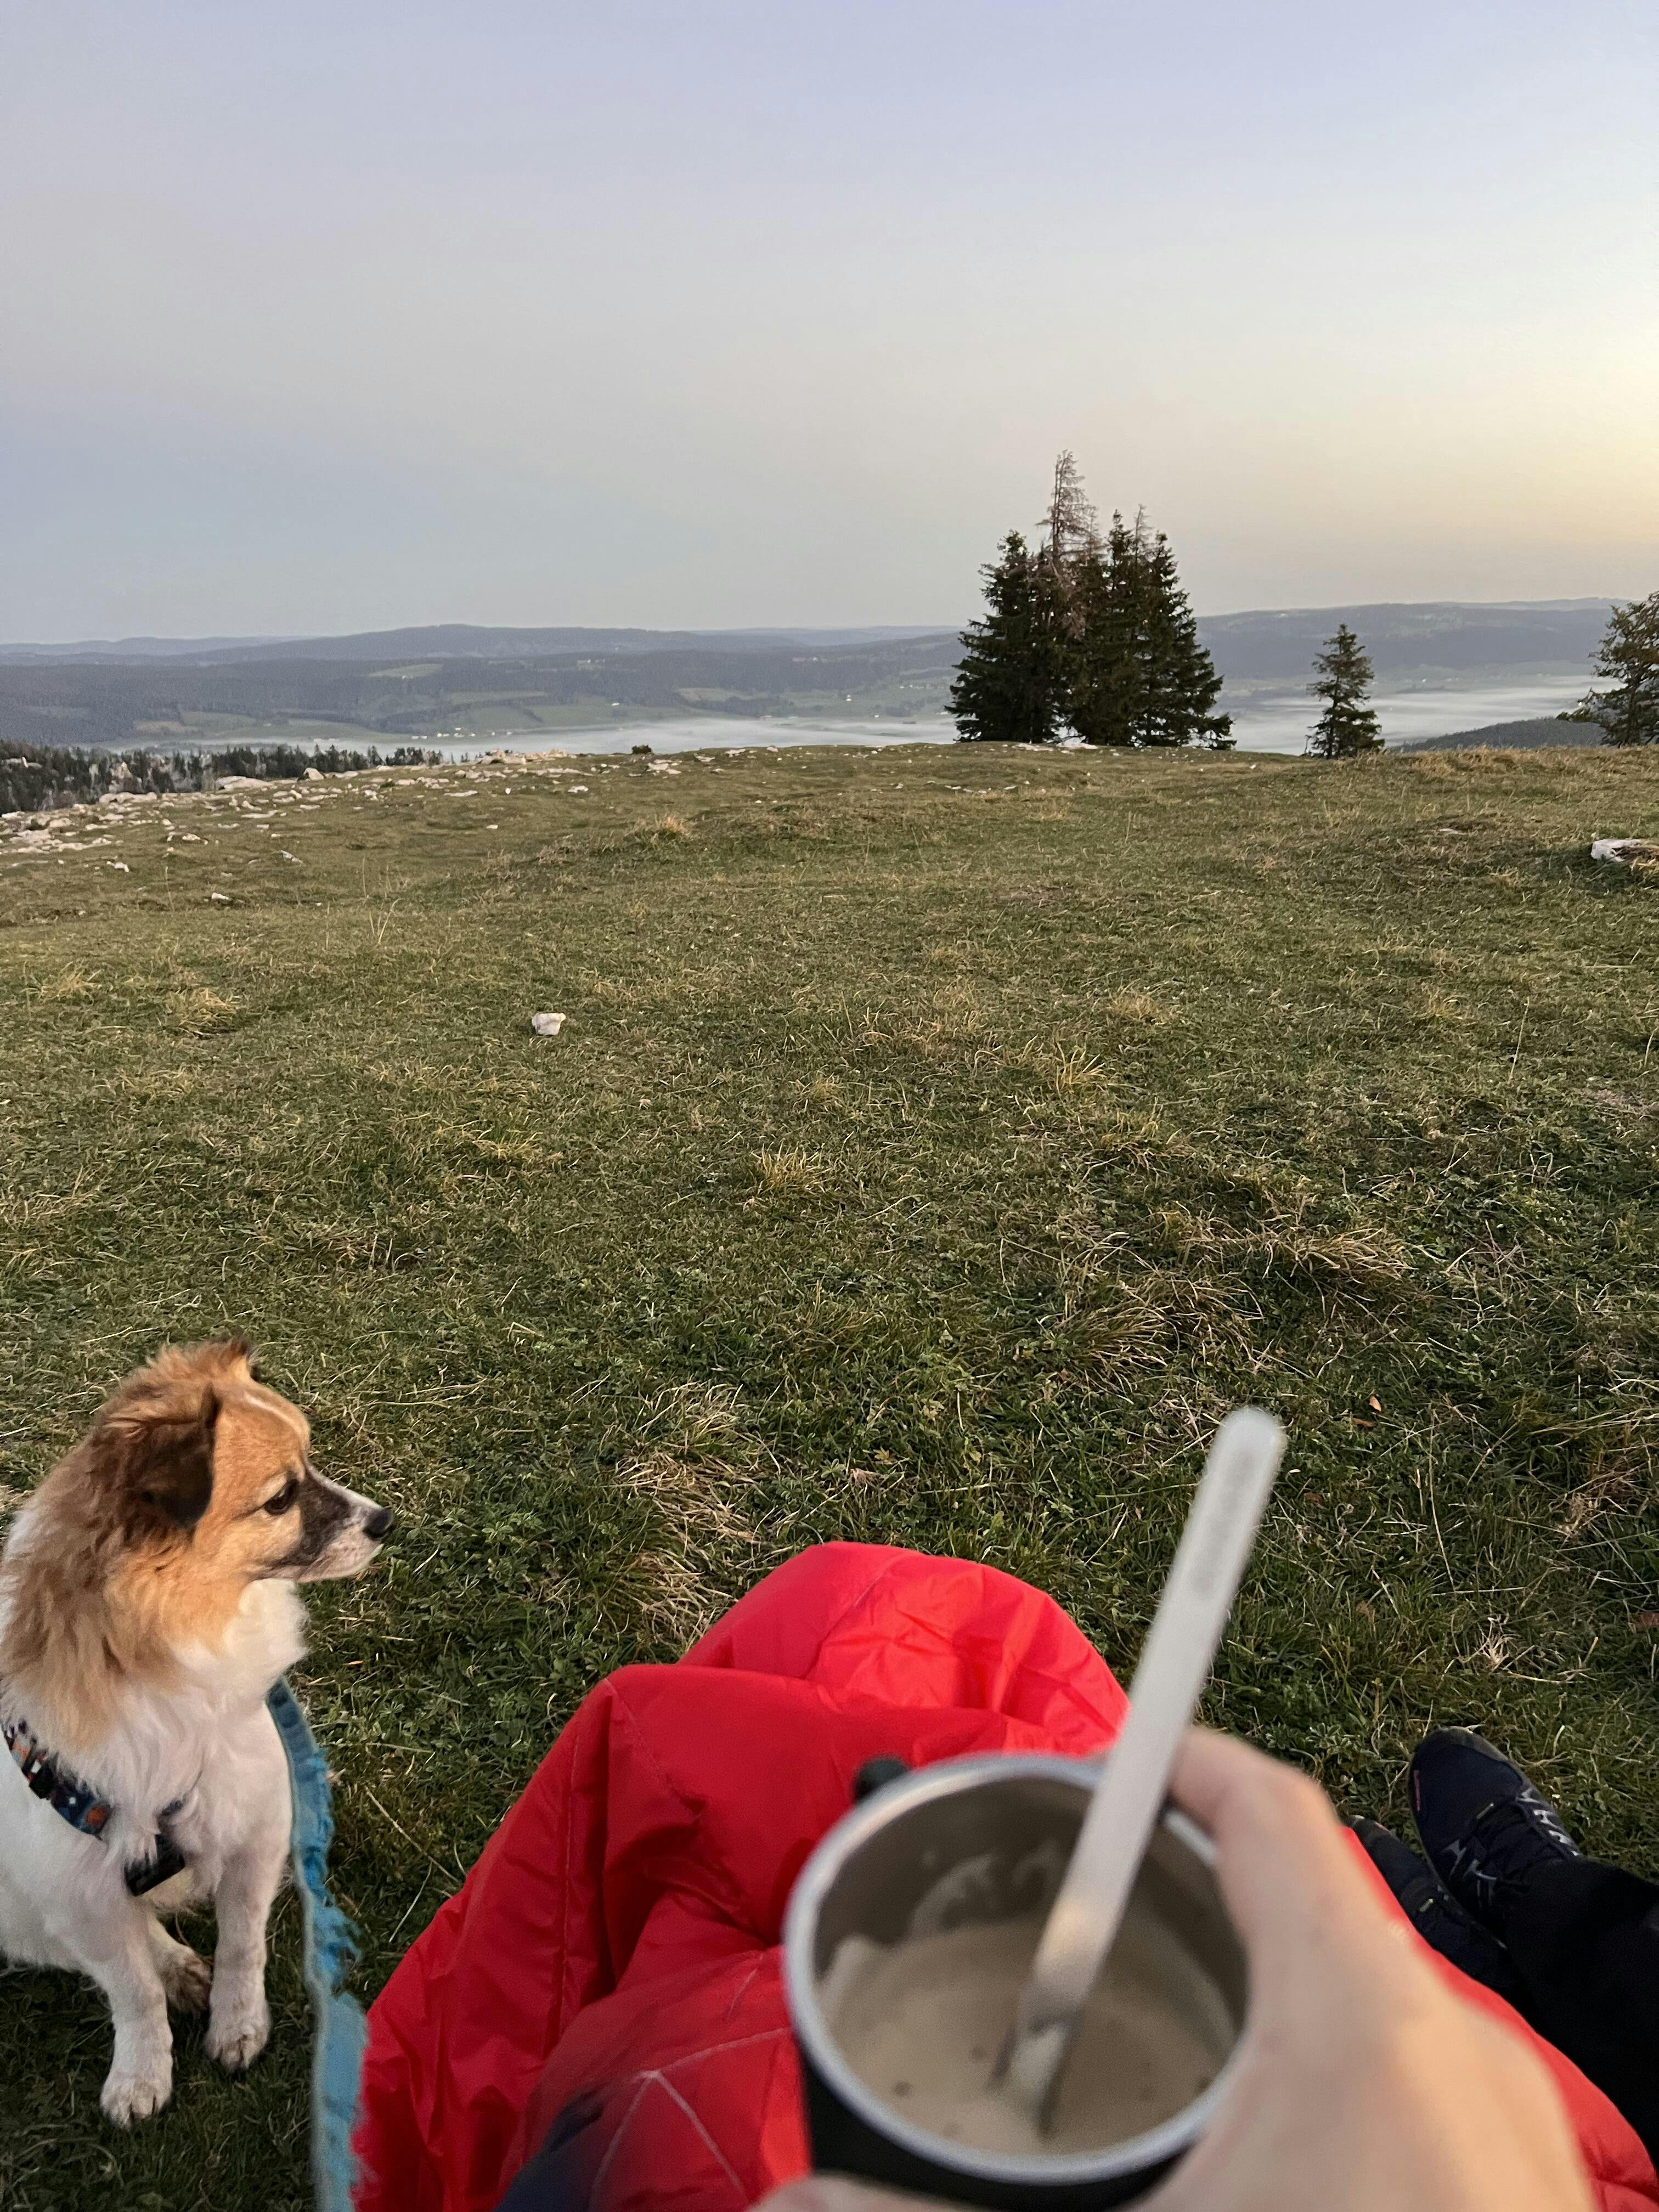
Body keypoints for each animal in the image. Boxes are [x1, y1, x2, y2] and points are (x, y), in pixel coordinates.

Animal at [0, 1338, 393, 2123]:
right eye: (281, 1498)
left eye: (310, 1464)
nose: (385, 1521)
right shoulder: (77, 1891)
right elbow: (131, 1993)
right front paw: (141, 2072)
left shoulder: (256, 1824)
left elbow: (245, 1946)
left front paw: (240, 2025)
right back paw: (177, 1965)